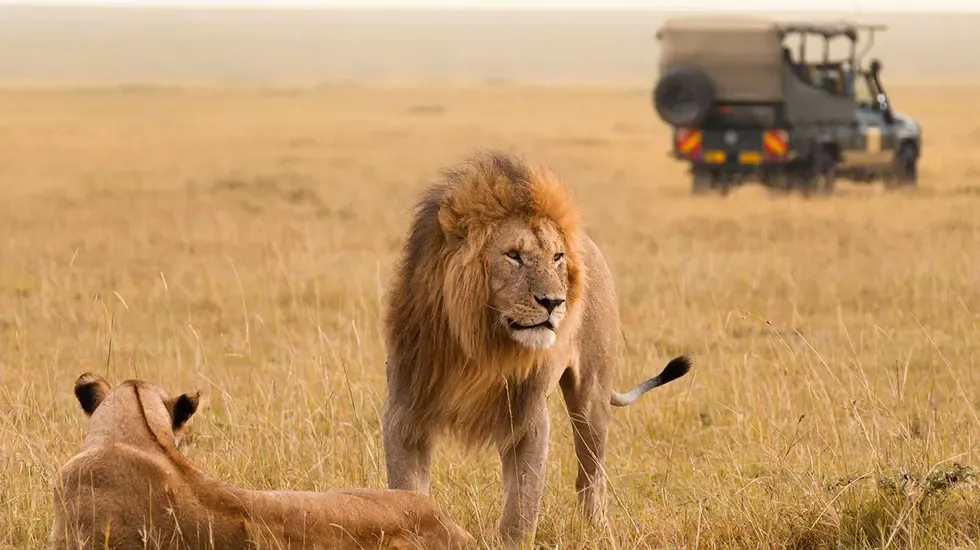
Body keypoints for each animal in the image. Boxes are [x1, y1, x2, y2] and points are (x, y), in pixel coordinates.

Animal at [380, 151, 692, 548]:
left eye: (557, 257)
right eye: (513, 255)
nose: (554, 302)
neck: (480, 345)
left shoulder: (528, 418)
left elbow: (521, 507)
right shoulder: (405, 412)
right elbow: (406, 493)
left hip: (591, 397)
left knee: (591, 475)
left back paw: (599, 531)